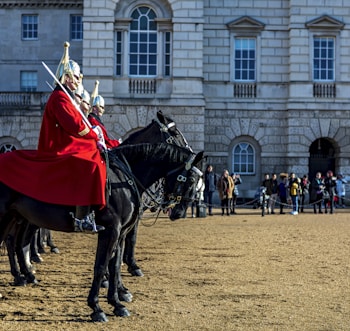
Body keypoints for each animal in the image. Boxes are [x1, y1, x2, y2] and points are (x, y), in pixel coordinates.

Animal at [0, 143, 204, 322]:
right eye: (191, 180)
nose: (179, 213)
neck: (124, 179)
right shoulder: (111, 230)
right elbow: (101, 266)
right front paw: (96, 307)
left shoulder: (121, 233)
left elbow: (115, 265)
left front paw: (117, 302)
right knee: (16, 242)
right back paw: (23, 274)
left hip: (17, 217)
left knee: (16, 242)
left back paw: (25, 275)